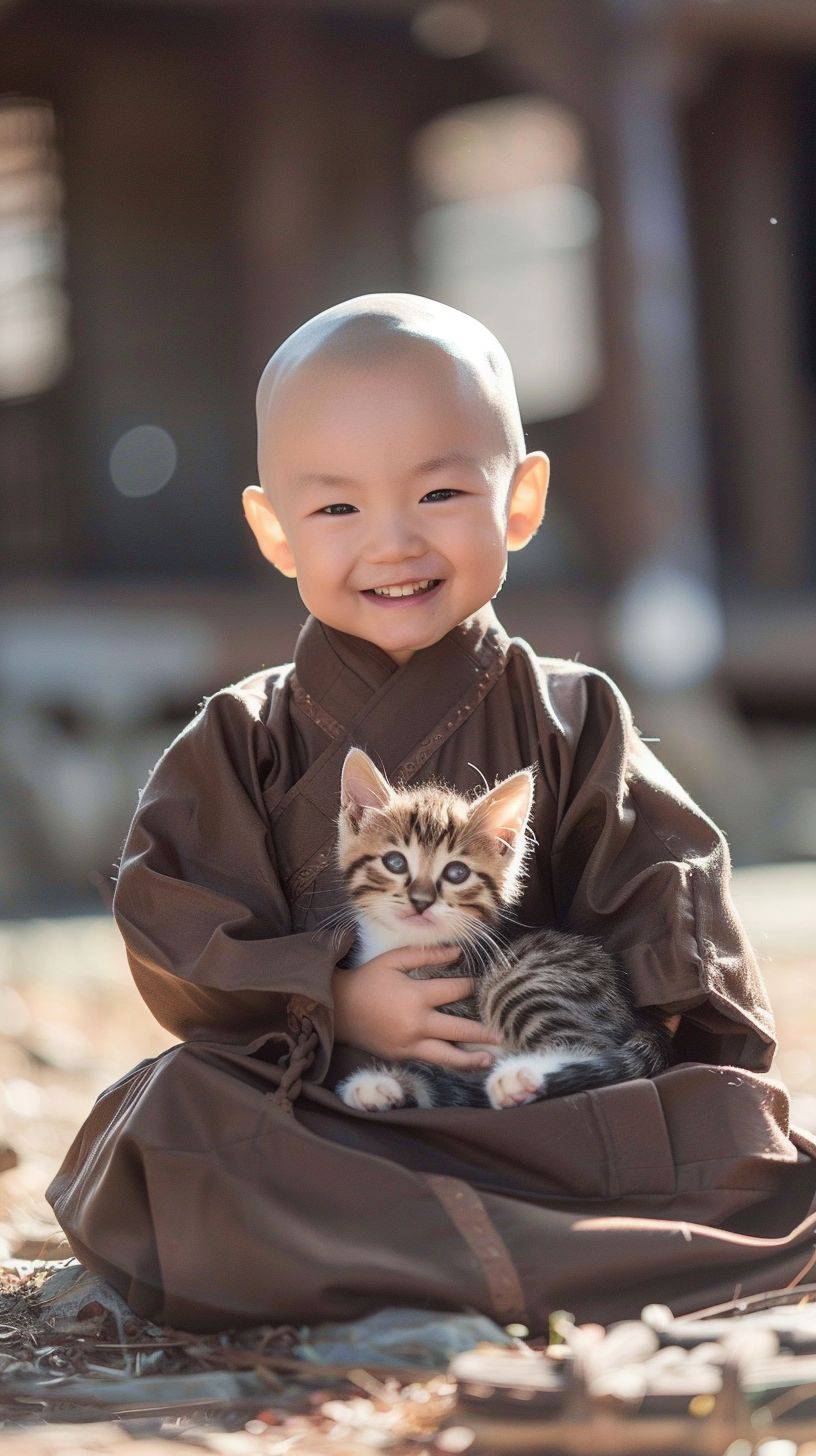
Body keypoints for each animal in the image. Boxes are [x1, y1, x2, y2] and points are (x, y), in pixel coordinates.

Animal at [327, 751, 673, 1112]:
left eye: (456, 872)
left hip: (523, 981)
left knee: (591, 1046)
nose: (421, 901)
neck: (407, 945)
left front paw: (383, 1082)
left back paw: (519, 1076)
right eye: (395, 863)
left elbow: (433, 1068)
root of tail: (637, 1015)